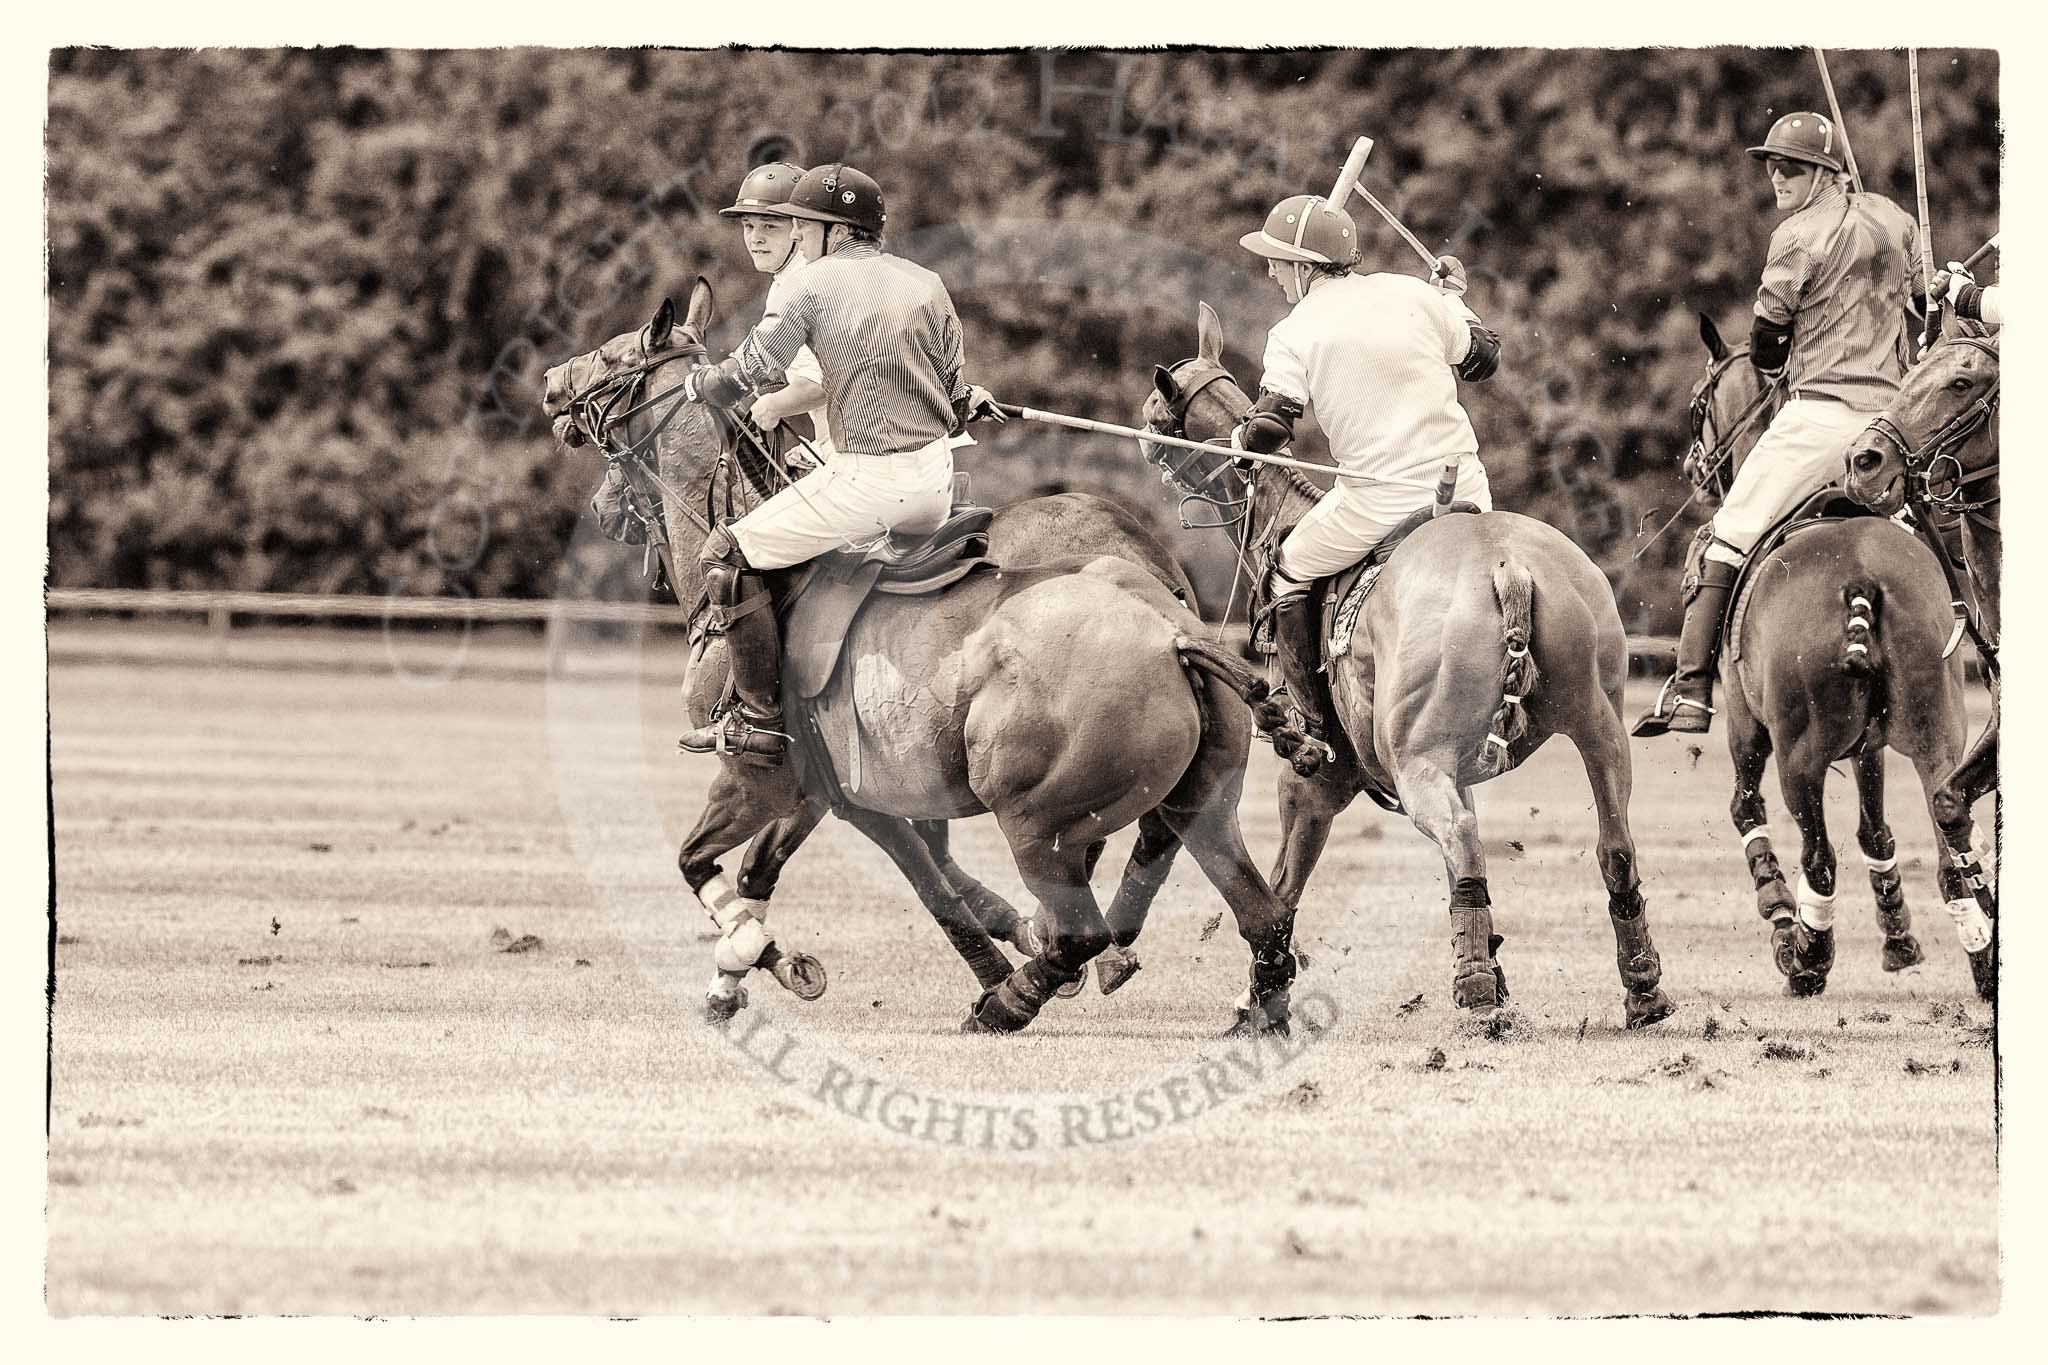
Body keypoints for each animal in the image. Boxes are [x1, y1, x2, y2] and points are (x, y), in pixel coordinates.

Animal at [544, 286, 1302, 1035]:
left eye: (615, 355)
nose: (553, 385)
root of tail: (1171, 634)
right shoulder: (834, 792)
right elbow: (799, 869)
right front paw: (734, 981)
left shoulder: (766, 779)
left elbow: (711, 861)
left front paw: (769, 959)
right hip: (1204, 800)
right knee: (1258, 914)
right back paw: (1252, 1010)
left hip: (1033, 816)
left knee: (1081, 924)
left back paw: (1015, 997)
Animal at [1146, 304, 1671, 1031]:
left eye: (1160, 412)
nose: (1144, 437)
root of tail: (1508, 564)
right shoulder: (1460, 763)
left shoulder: (1318, 782)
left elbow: (1283, 883)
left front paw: (1257, 999)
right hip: (1598, 723)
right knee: (1612, 844)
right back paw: (1641, 988)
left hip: (1418, 759)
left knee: (1463, 840)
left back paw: (1476, 996)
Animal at [1687, 321, 1990, 1002]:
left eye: (1700, 407)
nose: (1695, 467)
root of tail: (1859, 576)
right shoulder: (1870, 743)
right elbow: (1876, 829)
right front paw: (1899, 937)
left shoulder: (1747, 725)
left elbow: (1746, 811)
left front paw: (1780, 918)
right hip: (1938, 730)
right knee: (1949, 843)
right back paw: (1986, 964)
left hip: (1798, 753)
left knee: (1818, 858)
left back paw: (1807, 956)